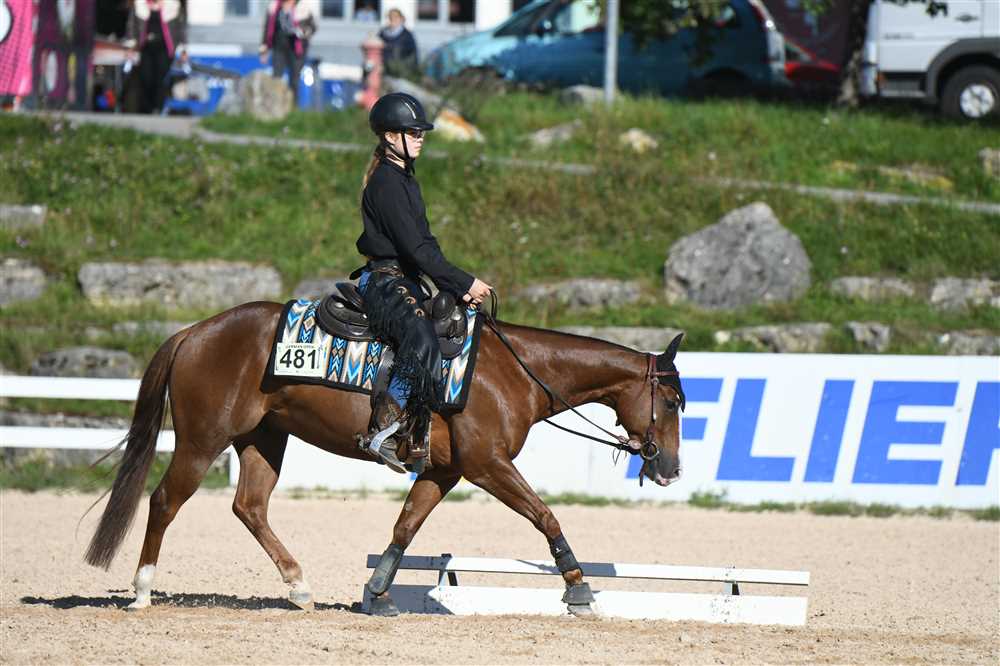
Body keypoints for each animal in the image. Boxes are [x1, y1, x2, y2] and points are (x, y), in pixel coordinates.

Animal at [84, 300, 685, 616]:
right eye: (675, 400)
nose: (670, 469)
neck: (512, 371)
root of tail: (193, 331)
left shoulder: (445, 471)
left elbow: (406, 526)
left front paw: (376, 593)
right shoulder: (488, 466)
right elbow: (544, 515)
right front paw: (578, 586)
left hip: (263, 439)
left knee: (250, 507)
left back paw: (299, 587)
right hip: (201, 440)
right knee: (164, 501)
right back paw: (142, 592)